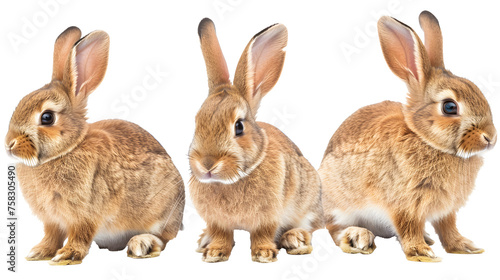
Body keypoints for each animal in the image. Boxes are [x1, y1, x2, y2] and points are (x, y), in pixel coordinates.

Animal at [4, 26, 185, 264]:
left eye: (47, 118)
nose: (9, 144)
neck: (68, 149)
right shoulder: (52, 220)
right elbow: (52, 235)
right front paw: (40, 252)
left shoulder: (86, 214)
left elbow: (80, 234)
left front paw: (67, 256)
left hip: (162, 211)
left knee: (163, 238)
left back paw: (141, 243)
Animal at [188, 18, 324, 264]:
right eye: (197, 122)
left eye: (239, 126)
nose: (207, 164)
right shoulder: (217, 222)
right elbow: (221, 234)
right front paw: (214, 253)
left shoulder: (269, 216)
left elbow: (263, 233)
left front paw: (264, 254)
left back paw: (295, 239)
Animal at [320, 9, 496, 262]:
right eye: (449, 107)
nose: (490, 137)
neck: (425, 139)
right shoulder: (405, 204)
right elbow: (408, 226)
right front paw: (422, 253)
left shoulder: (446, 210)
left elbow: (448, 227)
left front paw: (464, 246)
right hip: (339, 204)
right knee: (335, 228)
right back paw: (357, 236)